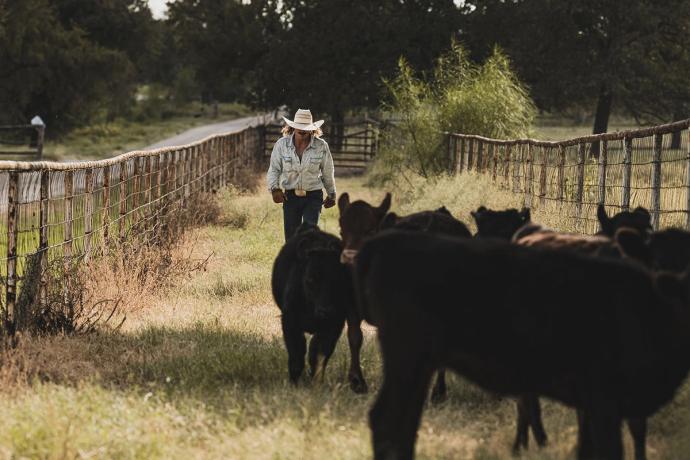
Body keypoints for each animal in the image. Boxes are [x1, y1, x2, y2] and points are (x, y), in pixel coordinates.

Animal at [270, 225, 354, 386]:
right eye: (310, 280)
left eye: (337, 280)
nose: (325, 311)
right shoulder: (290, 321)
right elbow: (297, 351)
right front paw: (295, 381)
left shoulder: (334, 325)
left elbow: (319, 353)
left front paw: (316, 380)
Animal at [354, 234, 688, 460]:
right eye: (657, 259)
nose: (671, 281)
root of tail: (386, 242)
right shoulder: (604, 402)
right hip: (408, 360)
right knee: (387, 421)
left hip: (420, 366)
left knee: (405, 425)